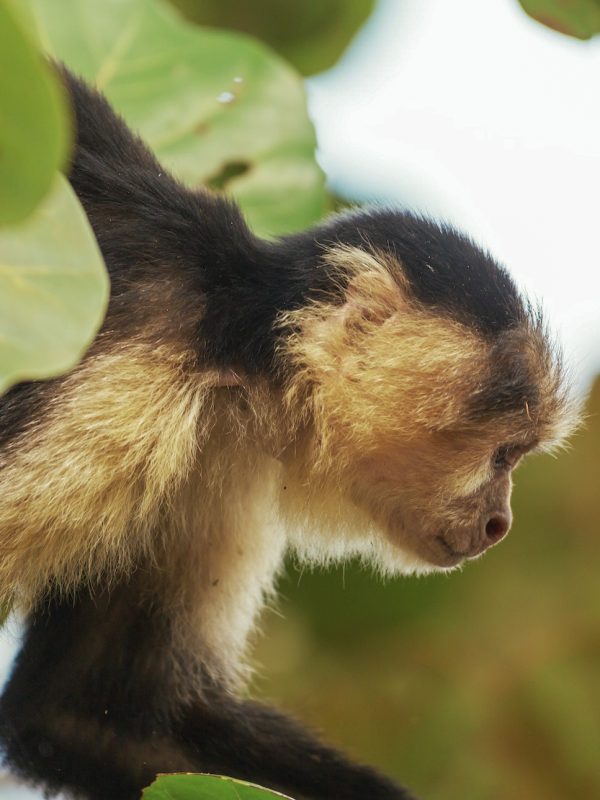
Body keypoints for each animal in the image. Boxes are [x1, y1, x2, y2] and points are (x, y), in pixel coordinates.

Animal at [0, 67, 578, 800]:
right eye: (503, 454)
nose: (502, 522)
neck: (236, 349)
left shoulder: (214, 454)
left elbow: (82, 714)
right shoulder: (117, 397)